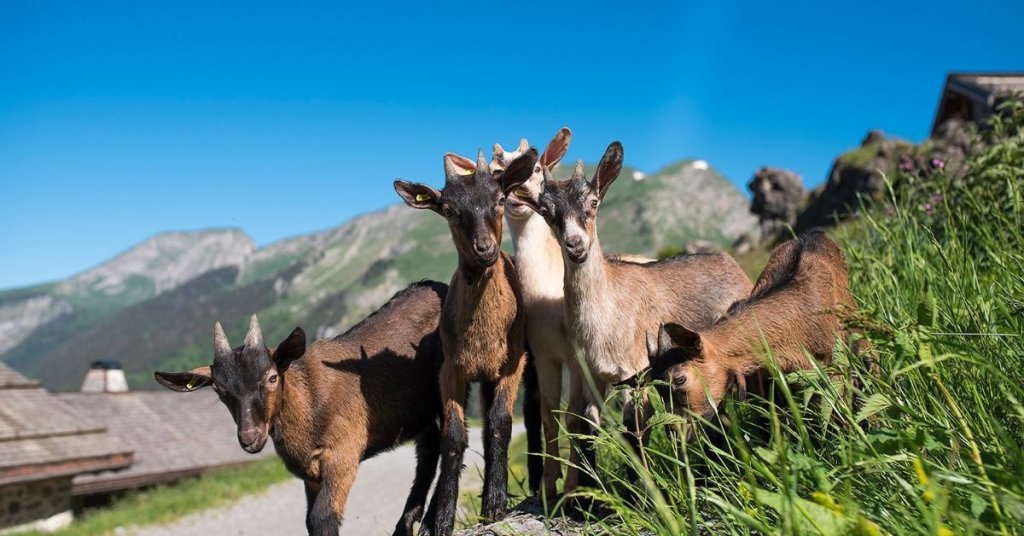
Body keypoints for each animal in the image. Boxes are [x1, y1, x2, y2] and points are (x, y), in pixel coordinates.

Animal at [151, 280, 444, 536]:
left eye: (272, 377)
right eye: (219, 390)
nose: (249, 437)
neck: (308, 400)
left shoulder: (344, 453)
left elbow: (322, 517)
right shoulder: (310, 473)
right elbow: (309, 521)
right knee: (430, 448)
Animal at [391, 147, 536, 536]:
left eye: (500, 200)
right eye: (450, 210)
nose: (485, 249)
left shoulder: (512, 364)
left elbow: (500, 424)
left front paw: (495, 505)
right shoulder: (451, 372)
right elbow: (454, 438)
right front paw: (441, 520)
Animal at [491, 129, 651, 500]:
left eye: (536, 167)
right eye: (494, 171)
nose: (516, 198)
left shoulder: (578, 359)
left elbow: (575, 416)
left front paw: (574, 488)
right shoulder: (543, 355)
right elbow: (549, 415)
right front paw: (549, 488)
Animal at [520, 141, 753, 489]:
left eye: (593, 202)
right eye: (547, 212)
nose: (575, 245)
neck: (607, 316)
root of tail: (731, 265)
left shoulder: (636, 371)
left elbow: (634, 431)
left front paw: (641, 492)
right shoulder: (592, 374)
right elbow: (588, 429)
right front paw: (589, 493)